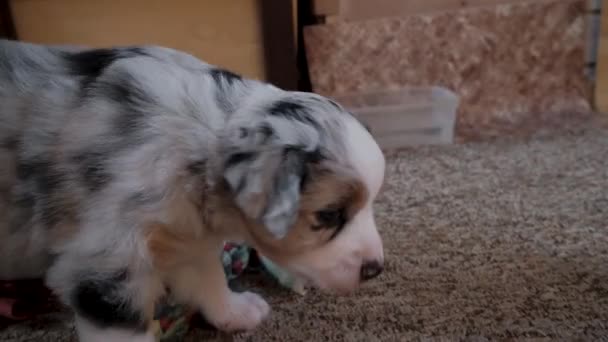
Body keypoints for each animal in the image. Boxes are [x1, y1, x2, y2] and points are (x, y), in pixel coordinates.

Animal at [0, 40, 384, 342]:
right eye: (329, 215)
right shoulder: (107, 268)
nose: (376, 270)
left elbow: (209, 275)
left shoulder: (186, 234)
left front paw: (236, 312)